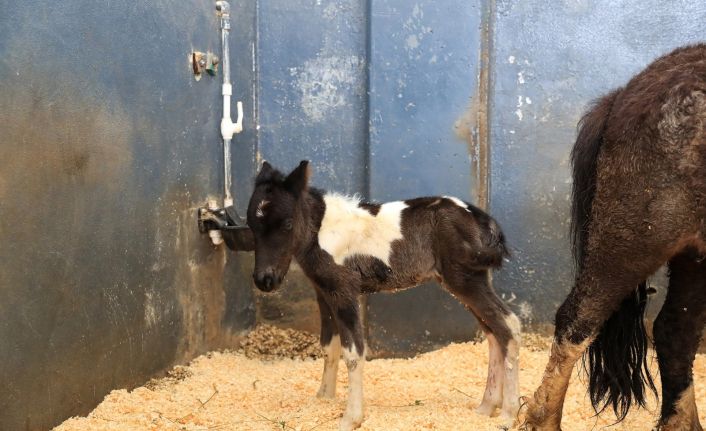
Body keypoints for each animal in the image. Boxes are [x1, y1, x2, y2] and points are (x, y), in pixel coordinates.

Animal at [246, 160, 516, 430]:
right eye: (251, 226)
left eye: (287, 224)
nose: (264, 280)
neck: (322, 233)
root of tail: (485, 222)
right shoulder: (324, 293)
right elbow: (329, 346)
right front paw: (323, 398)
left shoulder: (344, 291)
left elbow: (353, 352)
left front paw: (351, 417)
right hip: (469, 282)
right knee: (494, 332)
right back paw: (486, 407)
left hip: (465, 280)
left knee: (509, 324)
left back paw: (508, 413)